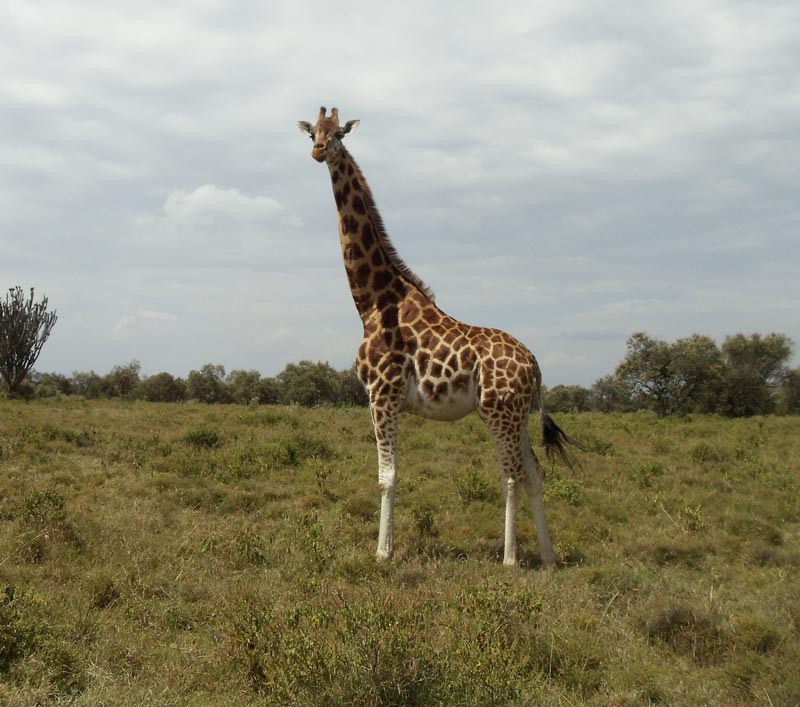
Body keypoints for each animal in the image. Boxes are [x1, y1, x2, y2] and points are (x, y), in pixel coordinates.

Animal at [296, 106, 580, 568]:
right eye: (313, 133)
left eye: (339, 133)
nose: (320, 151)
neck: (373, 301)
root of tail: (536, 366)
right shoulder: (385, 398)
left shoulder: (382, 395)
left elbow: (387, 476)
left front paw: (383, 552)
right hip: (515, 414)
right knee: (535, 473)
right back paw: (549, 557)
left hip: (498, 413)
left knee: (512, 475)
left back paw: (510, 559)